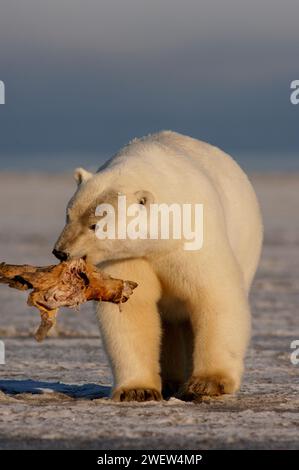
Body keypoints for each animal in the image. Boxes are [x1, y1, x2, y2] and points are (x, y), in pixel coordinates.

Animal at [53, 131, 262, 400]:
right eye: (68, 215)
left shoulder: (193, 240)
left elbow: (214, 296)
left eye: (95, 225)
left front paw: (207, 383)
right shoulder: (129, 256)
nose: (60, 251)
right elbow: (132, 309)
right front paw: (137, 390)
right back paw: (171, 381)